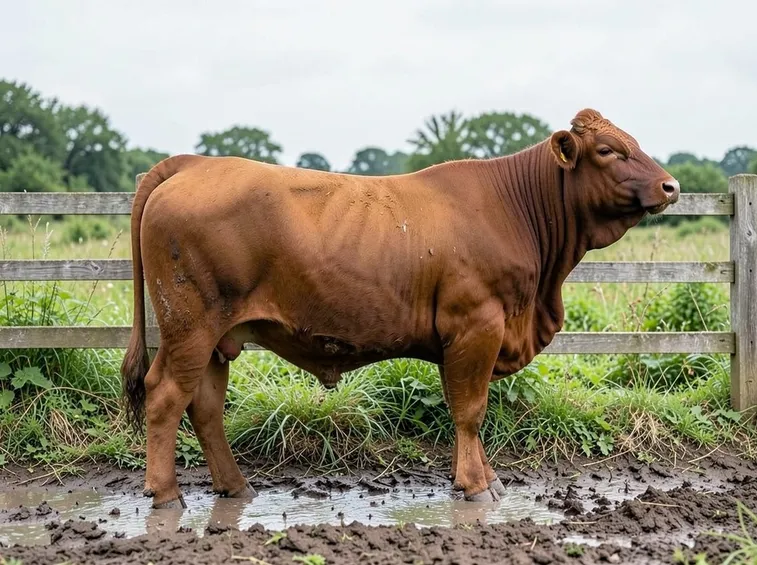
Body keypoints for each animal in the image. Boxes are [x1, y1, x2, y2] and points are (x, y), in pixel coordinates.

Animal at [121, 108, 680, 509]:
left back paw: (236, 487)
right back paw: (166, 495)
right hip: (190, 325)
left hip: (219, 337)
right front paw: (476, 485)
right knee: (165, 396)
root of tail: (195, 163)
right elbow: (471, 410)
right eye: (608, 150)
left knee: (205, 406)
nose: (671, 186)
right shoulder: (477, 326)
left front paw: (483, 478)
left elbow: (466, 410)